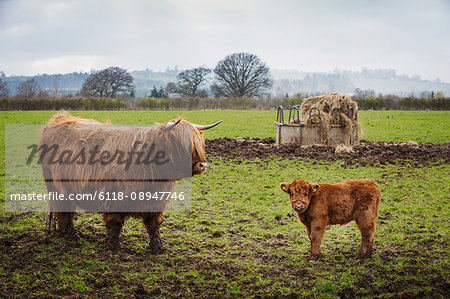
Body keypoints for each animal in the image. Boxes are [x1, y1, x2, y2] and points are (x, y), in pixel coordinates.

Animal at [41, 112, 221, 253]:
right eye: (182, 145)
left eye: (199, 142)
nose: (202, 165)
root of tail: (60, 118)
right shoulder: (113, 195)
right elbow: (114, 222)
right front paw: (112, 246)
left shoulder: (157, 200)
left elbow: (154, 224)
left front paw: (157, 247)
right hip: (57, 187)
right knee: (63, 211)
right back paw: (70, 234)